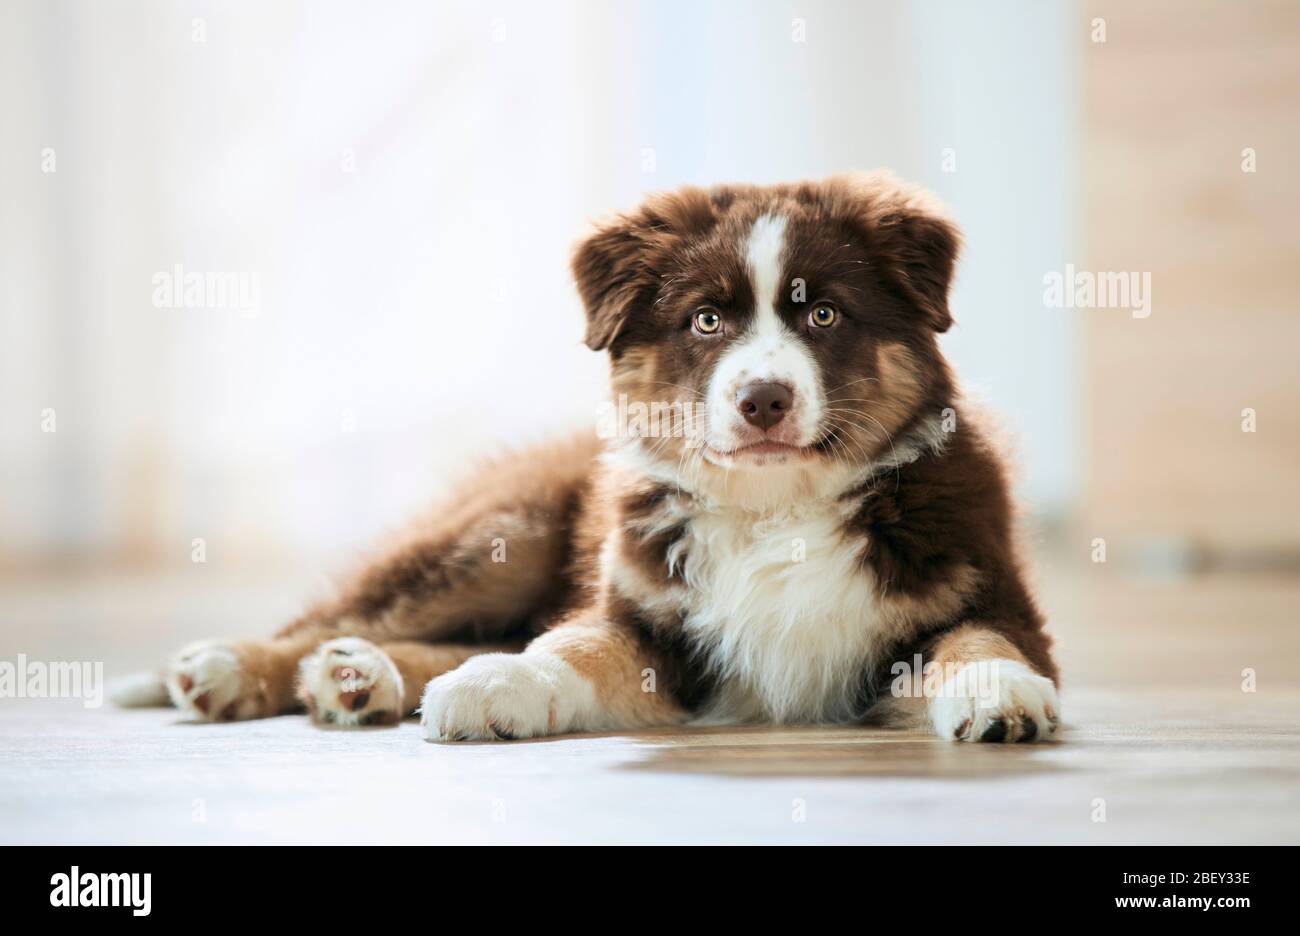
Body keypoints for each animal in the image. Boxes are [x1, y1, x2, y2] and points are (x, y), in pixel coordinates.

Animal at [139, 171, 1055, 743]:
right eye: (706, 321)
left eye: (824, 315)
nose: (763, 400)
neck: (777, 509)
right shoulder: (642, 608)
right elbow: (572, 646)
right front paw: (498, 686)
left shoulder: (982, 586)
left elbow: (978, 639)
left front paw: (998, 692)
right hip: (500, 535)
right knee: (340, 617)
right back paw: (235, 666)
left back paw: (361, 679)